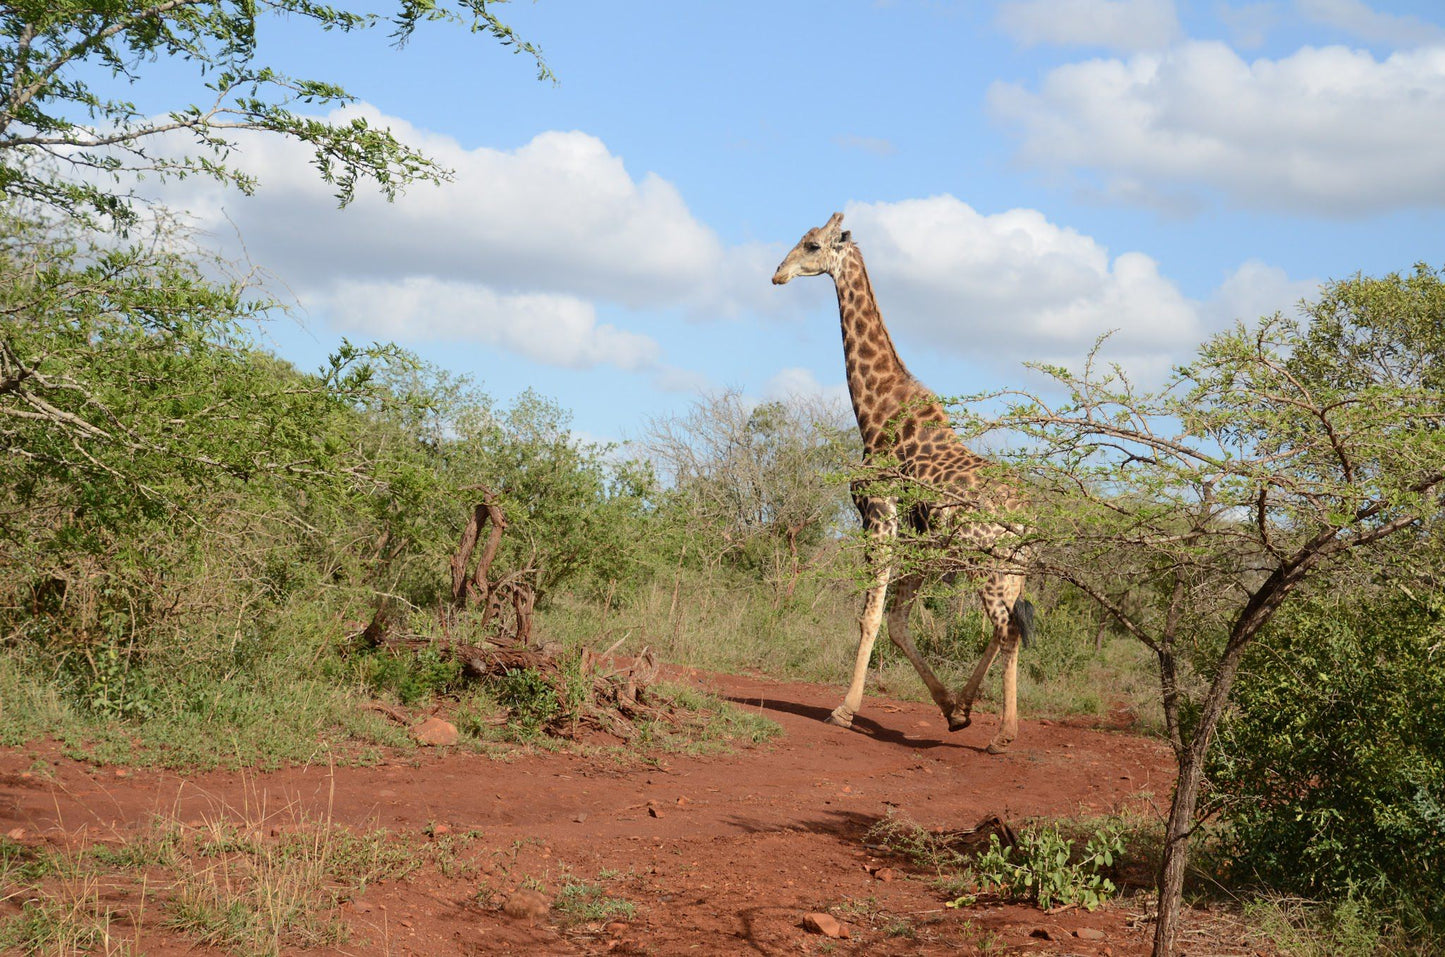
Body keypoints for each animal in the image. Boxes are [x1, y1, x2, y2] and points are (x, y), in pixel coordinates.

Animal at [774, 209, 1034, 757]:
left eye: (811, 246)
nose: (777, 275)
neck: (874, 412)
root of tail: (1030, 516)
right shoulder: (920, 537)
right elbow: (897, 620)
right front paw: (951, 710)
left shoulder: (878, 513)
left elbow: (870, 614)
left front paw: (844, 710)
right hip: (1013, 567)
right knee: (1008, 628)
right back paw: (972, 711)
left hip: (986, 563)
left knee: (1006, 630)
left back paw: (1004, 734)